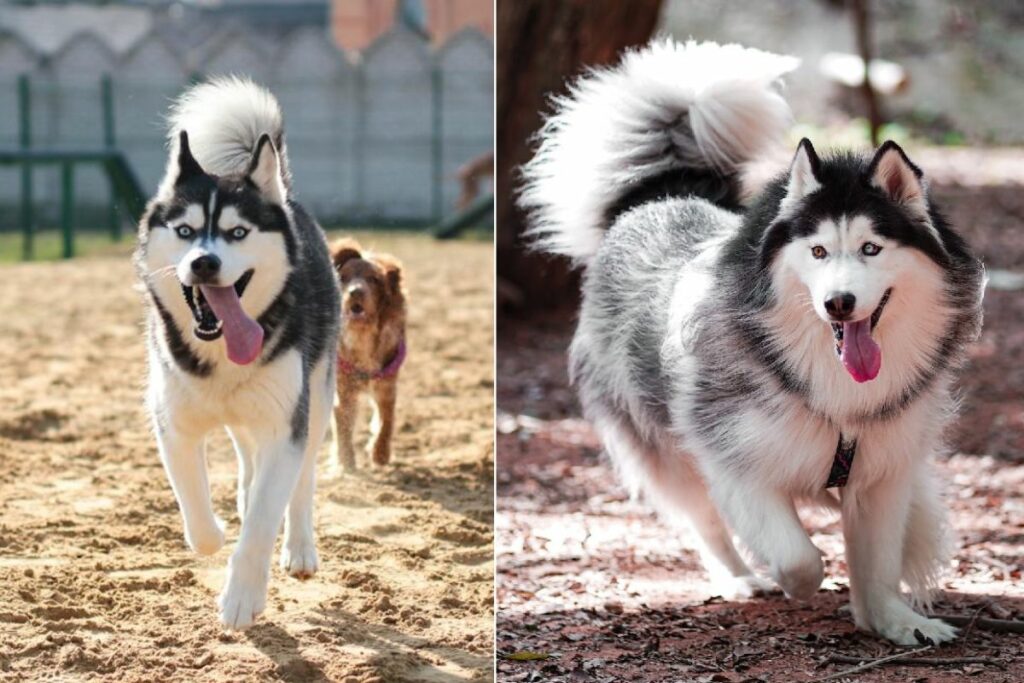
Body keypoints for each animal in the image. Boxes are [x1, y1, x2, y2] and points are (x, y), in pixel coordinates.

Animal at [132, 77, 337, 626]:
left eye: (237, 232)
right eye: (185, 231)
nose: (203, 262)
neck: (223, 353)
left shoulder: (287, 426)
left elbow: (267, 518)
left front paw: (242, 597)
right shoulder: (173, 425)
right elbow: (195, 510)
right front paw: (216, 534)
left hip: (317, 398)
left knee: (302, 482)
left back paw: (300, 547)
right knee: (248, 458)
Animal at [329, 239, 405, 471]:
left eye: (373, 280)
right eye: (343, 278)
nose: (355, 292)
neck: (361, 335)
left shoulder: (386, 385)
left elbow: (386, 420)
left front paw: (381, 453)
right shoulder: (343, 389)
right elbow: (343, 424)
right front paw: (346, 463)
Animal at [520, 40, 983, 643]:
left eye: (871, 248)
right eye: (817, 251)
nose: (838, 304)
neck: (828, 381)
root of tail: (654, 200)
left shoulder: (884, 469)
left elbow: (879, 559)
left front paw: (892, 619)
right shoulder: (732, 461)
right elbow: (799, 559)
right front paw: (802, 583)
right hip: (663, 449)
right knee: (704, 522)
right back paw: (740, 578)